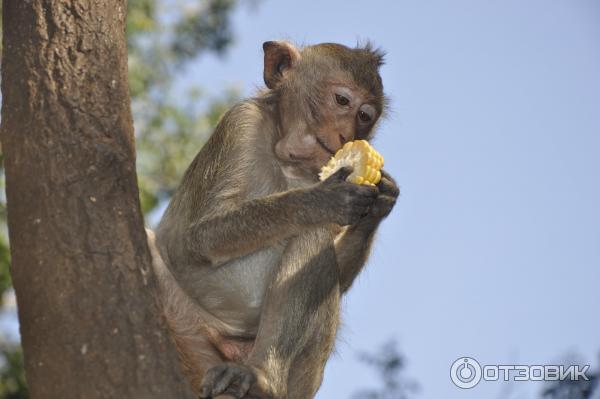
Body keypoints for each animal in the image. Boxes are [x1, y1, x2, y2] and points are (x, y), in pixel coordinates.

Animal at [146, 41, 398, 399]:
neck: (288, 160)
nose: (345, 135)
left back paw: (262, 380)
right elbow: (200, 237)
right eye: (342, 100)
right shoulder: (242, 123)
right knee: (309, 235)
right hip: (191, 339)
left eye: (365, 116)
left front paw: (382, 200)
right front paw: (318, 202)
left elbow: (340, 278)